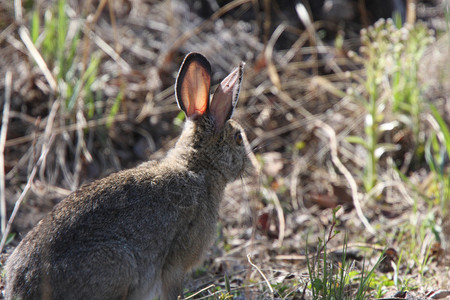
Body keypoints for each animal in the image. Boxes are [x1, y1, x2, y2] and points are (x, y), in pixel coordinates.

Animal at [3, 52, 250, 300]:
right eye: (239, 138)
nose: (249, 164)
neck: (197, 166)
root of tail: (24, 288)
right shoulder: (176, 264)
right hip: (119, 265)